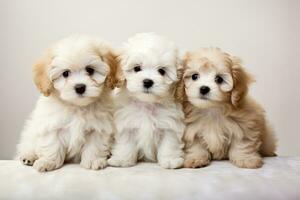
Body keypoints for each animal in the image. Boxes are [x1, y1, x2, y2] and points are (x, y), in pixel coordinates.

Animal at [16, 34, 117, 172]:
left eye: (90, 70)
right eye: (65, 73)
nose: (80, 87)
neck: (76, 106)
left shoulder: (99, 127)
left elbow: (95, 145)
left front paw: (92, 161)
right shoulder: (51, 125)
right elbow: (52, 144)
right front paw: (48, 162)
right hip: (31, 131)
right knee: (28, 143)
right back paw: (29, 156)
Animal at [106, 33, 184, 169]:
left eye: (162, 71)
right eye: (137, 68)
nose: (148, 81)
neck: (147, 103)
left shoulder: (169, 124)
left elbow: (169, 143)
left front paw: (169, 160)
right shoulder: (127, 123)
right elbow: (125, 143)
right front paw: (122, 160)